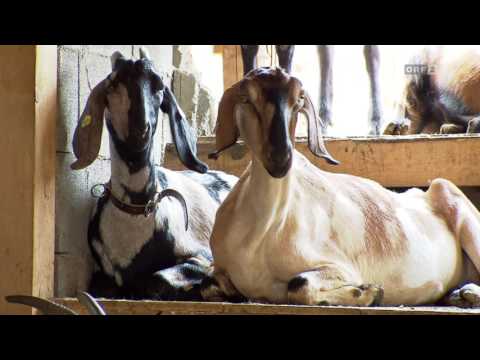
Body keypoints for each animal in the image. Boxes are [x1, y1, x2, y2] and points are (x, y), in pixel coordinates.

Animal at [71, 48, 236, 300]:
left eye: (159, 85)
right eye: (113, 83)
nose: (141, 130)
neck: (136, 209)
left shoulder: (202, 256)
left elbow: (158, 279)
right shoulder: (101, 275)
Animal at [201, 66, 480, 308]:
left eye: (299, 99)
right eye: (246, 98)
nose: (281, 158)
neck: (264, 229)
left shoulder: (339, 266)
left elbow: (298, 284)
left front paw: (369, 292)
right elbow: (208, 283)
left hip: (460, 209)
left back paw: (468, 294)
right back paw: (459, 294)